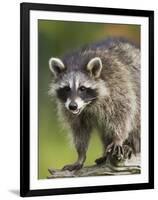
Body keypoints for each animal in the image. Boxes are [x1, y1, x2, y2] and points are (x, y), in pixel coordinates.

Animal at [48, 38, 140, 170]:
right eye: (66, 89)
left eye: (82, 88)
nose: (73, 106)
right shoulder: (68, 108)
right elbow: (79, 129)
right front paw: (80, 155)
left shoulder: (117, 85)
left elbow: (123, 113)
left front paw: (118, 138)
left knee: (136, 119)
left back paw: (131, 146)